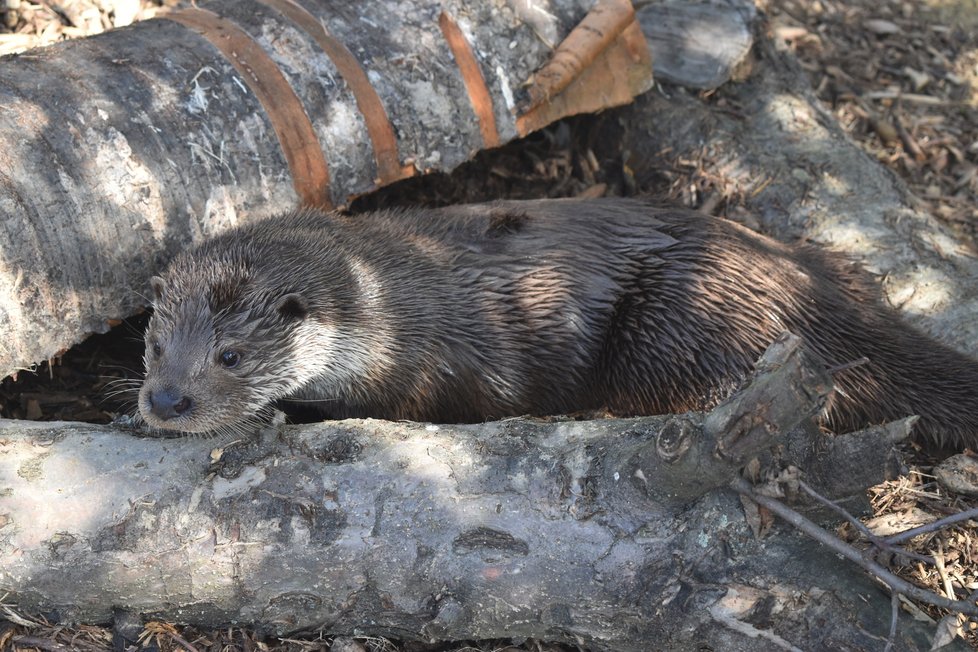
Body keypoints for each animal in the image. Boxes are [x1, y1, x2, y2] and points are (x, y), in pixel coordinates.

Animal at [137, 199, 976, 448]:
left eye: (231, 356)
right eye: (153, 345)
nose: (166, 400)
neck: (389, 308)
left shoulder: (436, 369)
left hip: (684, 320)